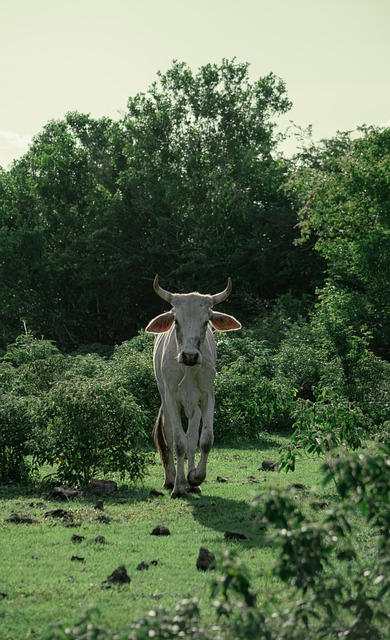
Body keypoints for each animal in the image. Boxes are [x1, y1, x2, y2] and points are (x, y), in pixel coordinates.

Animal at [145, 278, 241, 498]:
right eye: (176, 321)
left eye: (206, 322)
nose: (190, 355)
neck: (188, 369)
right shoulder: (171, 397)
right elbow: (178, 442)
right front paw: (179, 486)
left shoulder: (207, 396)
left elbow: (204, 439)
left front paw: (195, 477)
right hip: (165, 396)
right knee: (169, 434)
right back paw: (171, 479)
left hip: (193, 405)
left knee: (191, 437)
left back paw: (192, 484)